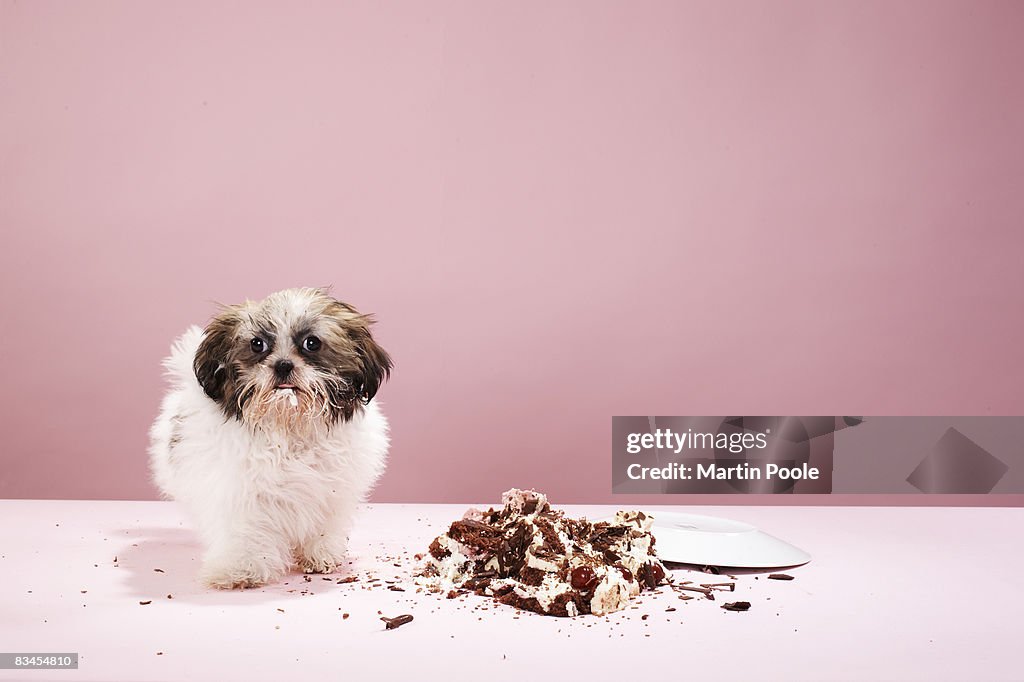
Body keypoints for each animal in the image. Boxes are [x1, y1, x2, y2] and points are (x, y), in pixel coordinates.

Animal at [149, 284, 393, 585]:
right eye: (257, 344)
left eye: (312, 343)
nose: (283, 365)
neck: (287, 424)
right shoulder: (239, 492)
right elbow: (246, 529)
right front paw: (242, 568)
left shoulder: (331, 491)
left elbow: (323, 522)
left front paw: (319, 554)